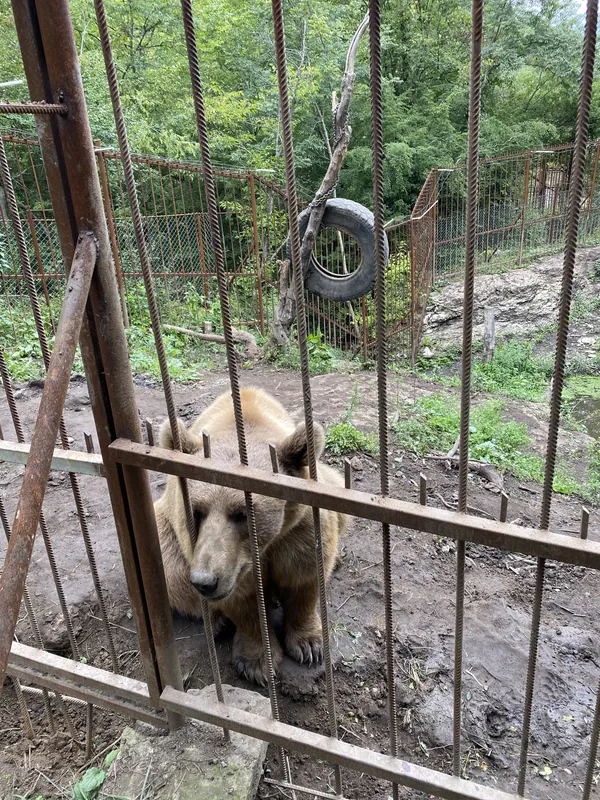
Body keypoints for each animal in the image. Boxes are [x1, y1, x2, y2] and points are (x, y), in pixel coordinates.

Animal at [154, 386, 348, 685]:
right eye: (196, 511)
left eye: (242, 513)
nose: (204, 581)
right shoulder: (229, 560)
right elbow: (243, 602)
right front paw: (257, 663)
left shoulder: (297, 531)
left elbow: (304, 578)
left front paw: (308, 645)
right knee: (170, 572)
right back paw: (216, 621)